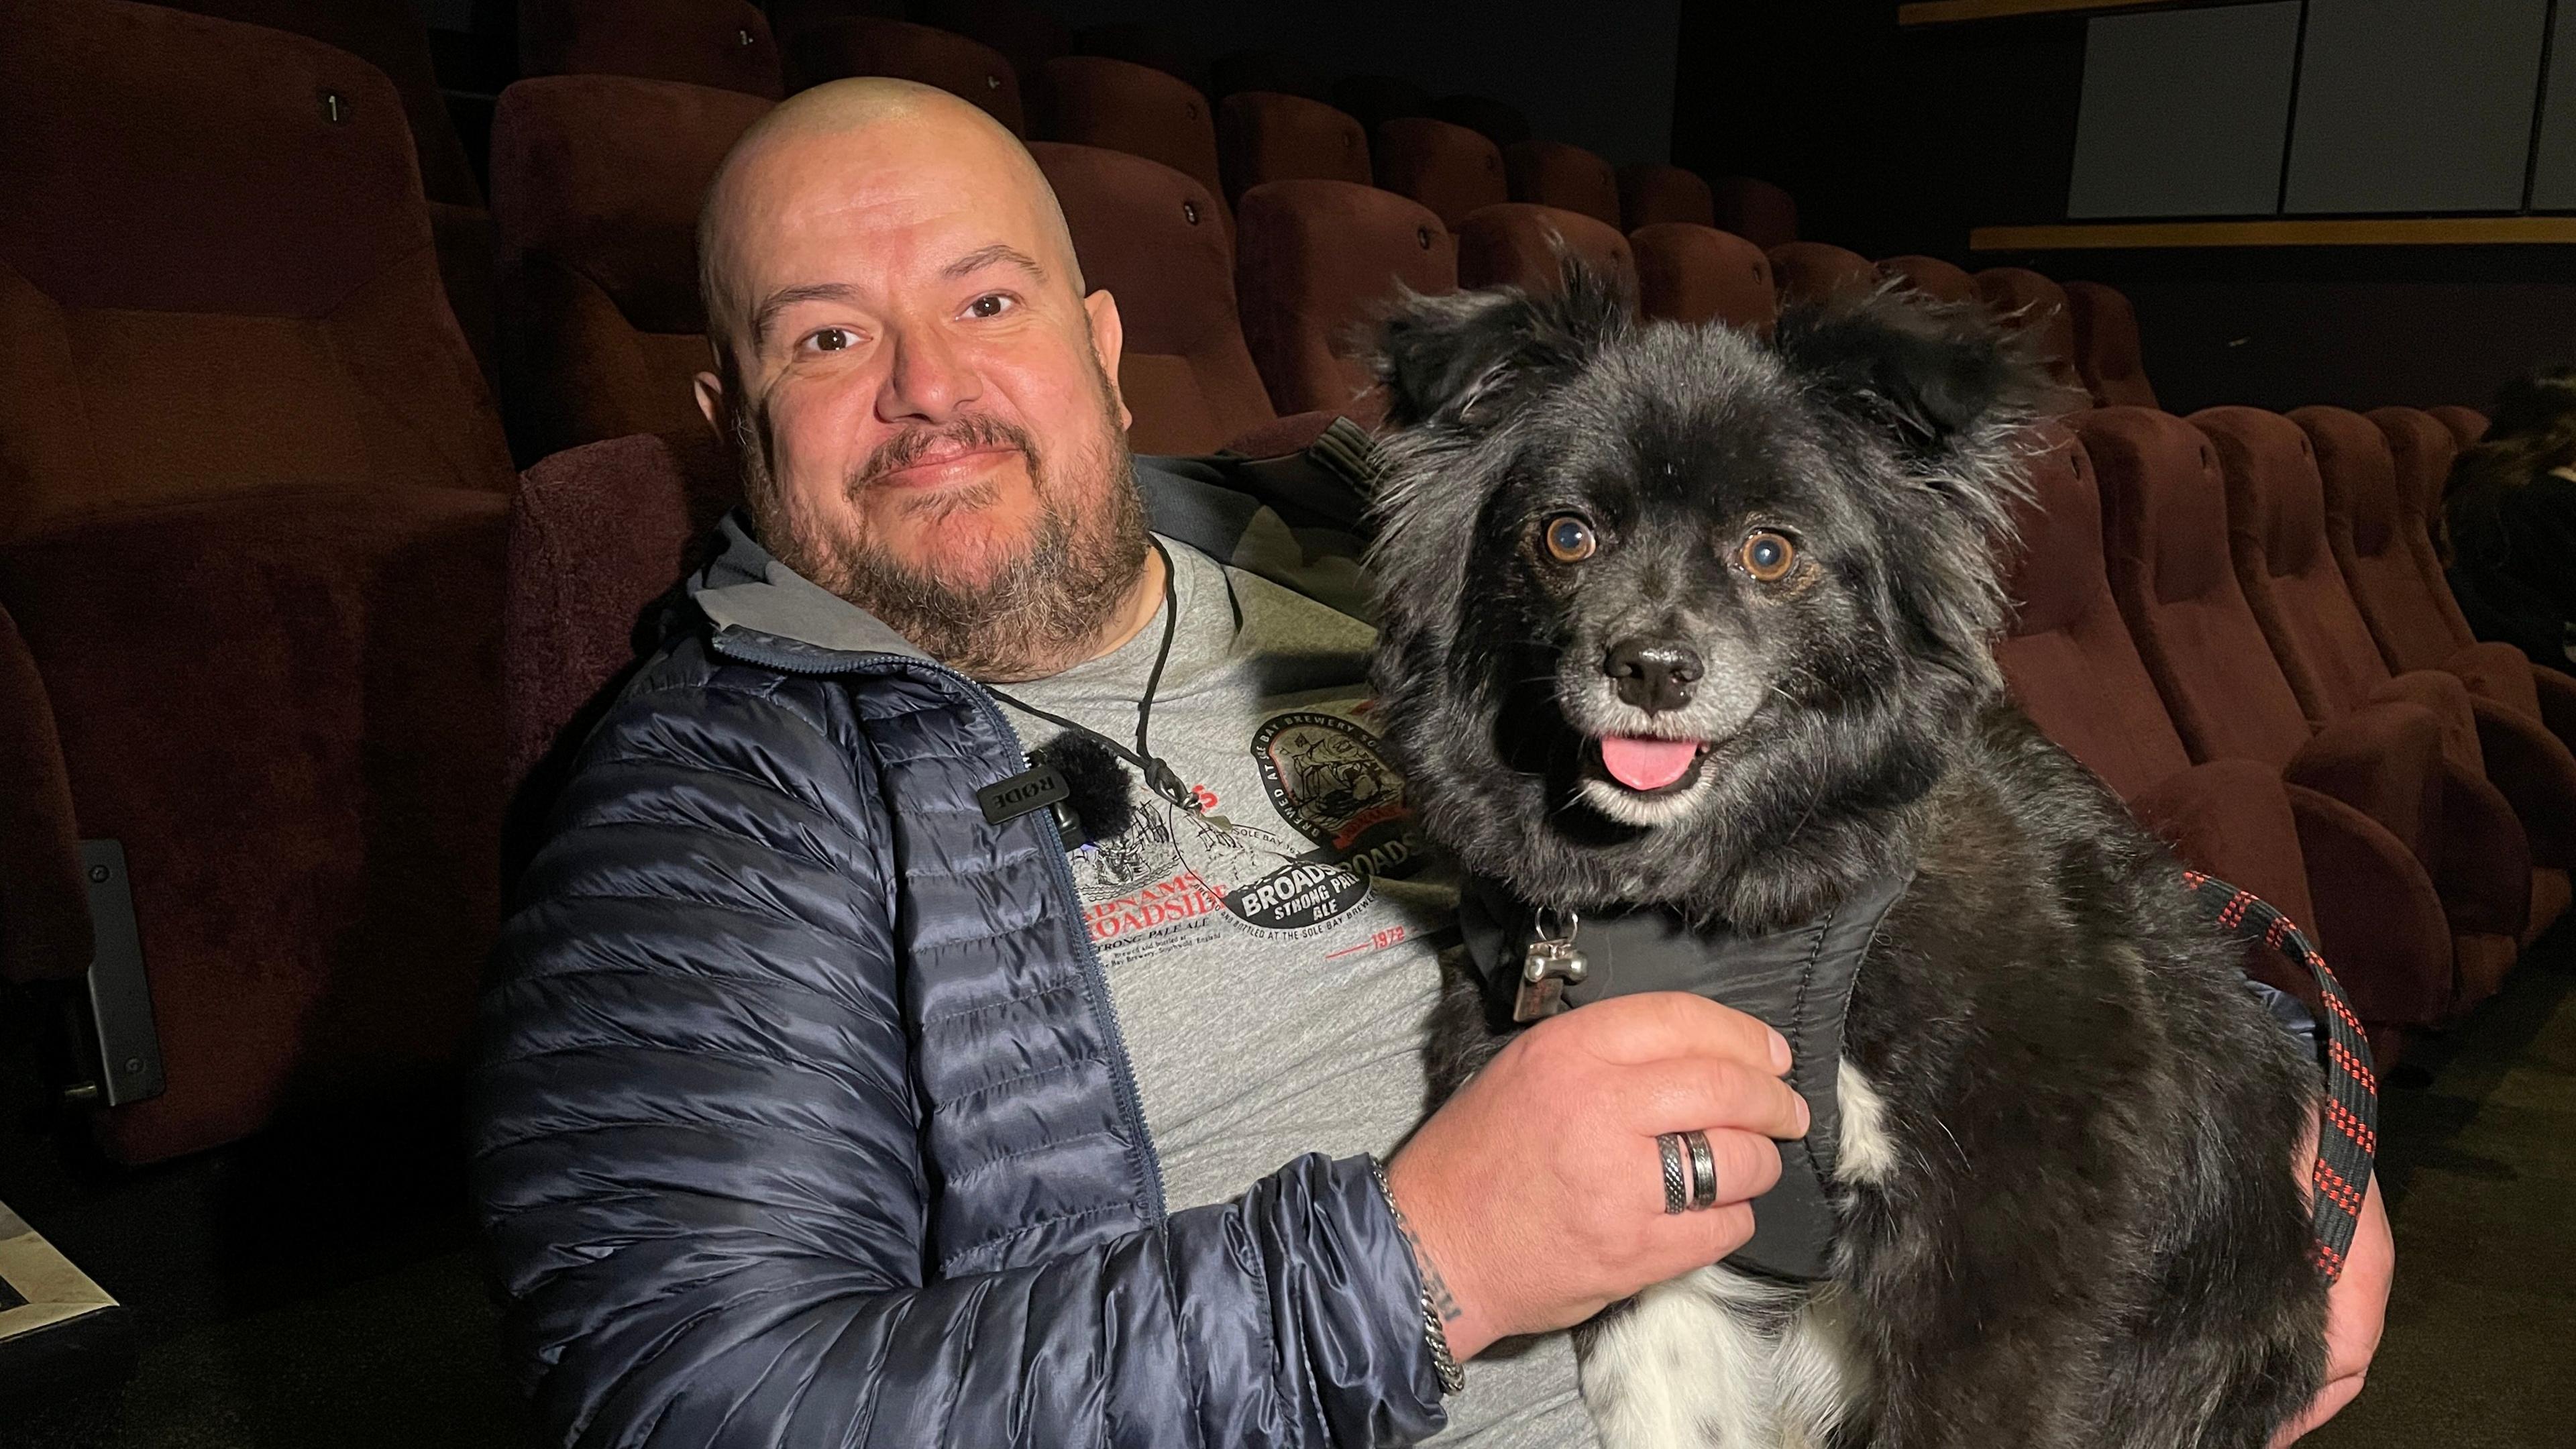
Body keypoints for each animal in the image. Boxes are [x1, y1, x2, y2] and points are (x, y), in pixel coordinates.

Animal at [1370, 265, 2339, 1433]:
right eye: (1567, 537)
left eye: (1770, 551)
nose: (1650, 667)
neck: (1700, 900)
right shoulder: (1666, 1227)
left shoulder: (2009, 1256)